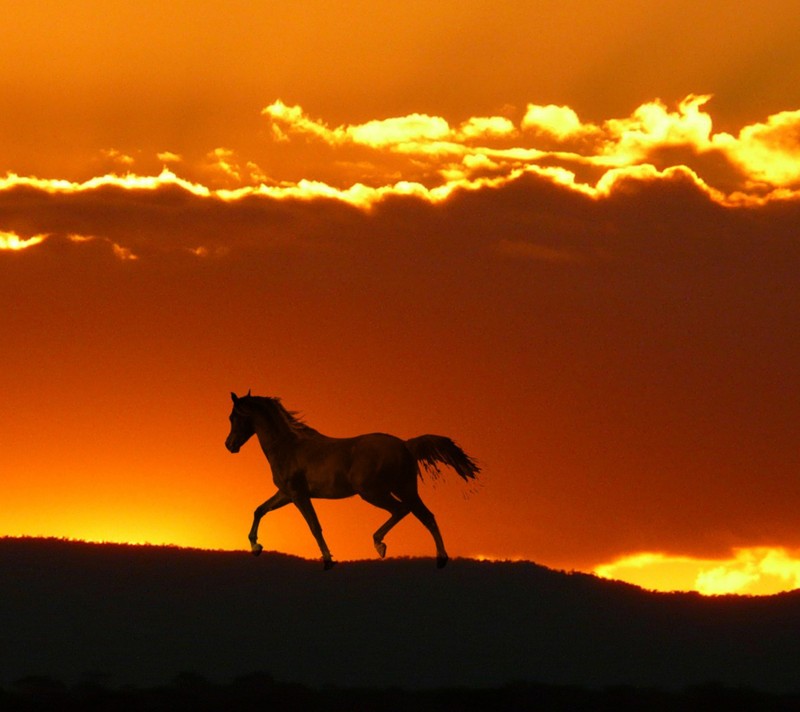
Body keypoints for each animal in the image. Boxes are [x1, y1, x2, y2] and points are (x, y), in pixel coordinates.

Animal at [222, 392, 478, 572]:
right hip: (405, 489)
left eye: (234, 417)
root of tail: (405, 445)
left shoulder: (298, 494)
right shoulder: (285, 494)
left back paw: (380, 544)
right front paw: (256, 547)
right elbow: (259, 510)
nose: (229, 445)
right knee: (426, 516)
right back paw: (440, 559)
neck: (288, 447)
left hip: (373, 492)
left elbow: (314, 526)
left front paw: (328, 561)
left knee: (402, 510)